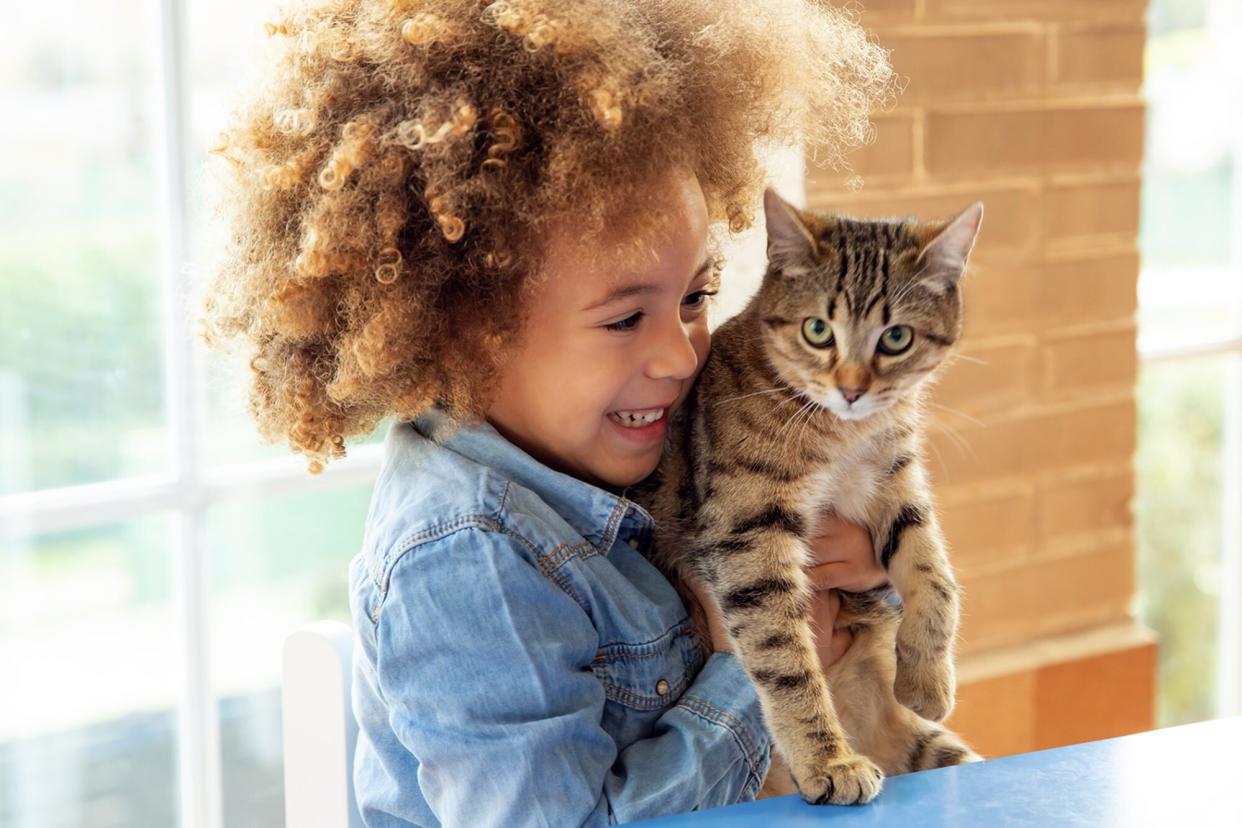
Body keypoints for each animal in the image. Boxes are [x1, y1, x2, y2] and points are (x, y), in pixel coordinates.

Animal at [630, 187, 988, 804]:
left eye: (896, 338)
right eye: (818, 330)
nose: (852, 389)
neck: (844, 436)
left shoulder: (896, 481)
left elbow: (934, 573)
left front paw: (927, 677)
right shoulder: (748, 531)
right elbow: (785, 659)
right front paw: (829, 760)